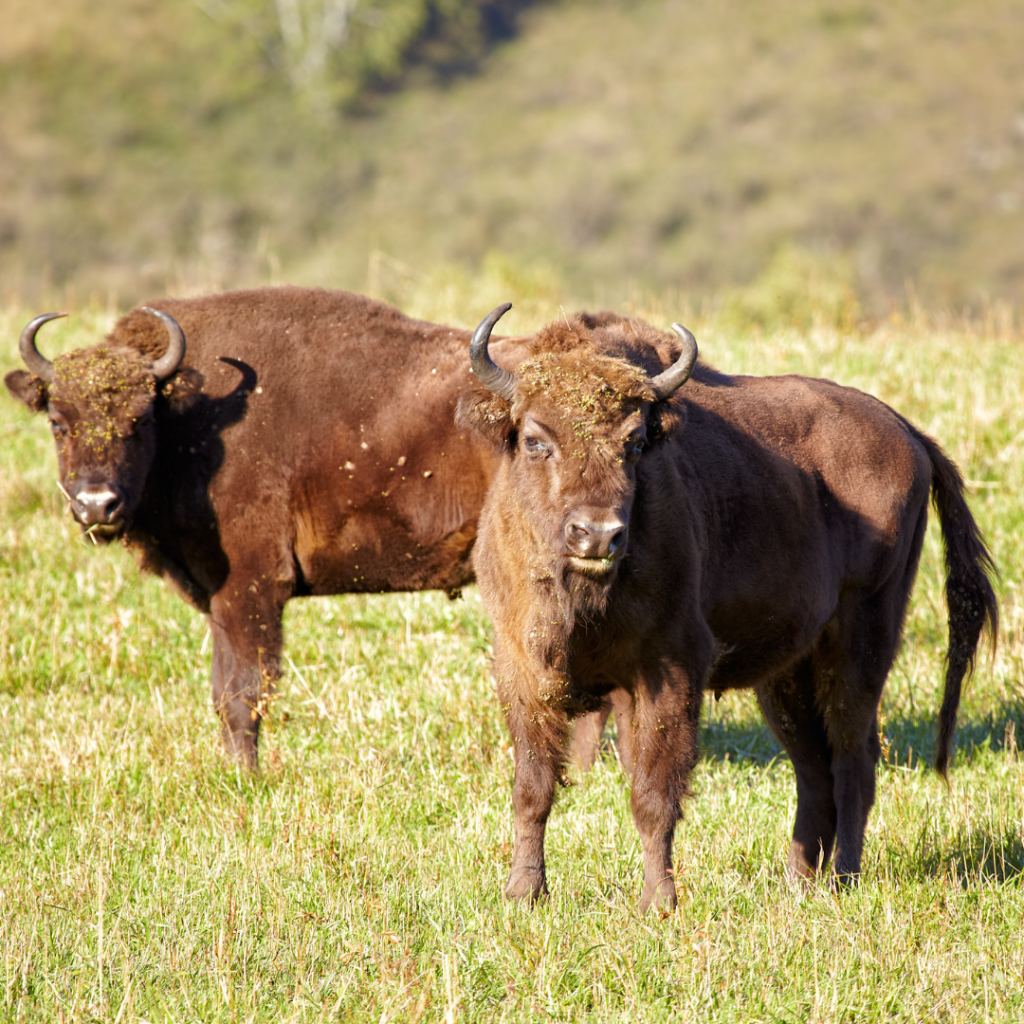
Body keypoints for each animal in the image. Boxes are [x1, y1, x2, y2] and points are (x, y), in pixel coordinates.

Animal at [8, 288, 532, 770]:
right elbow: (223, 691)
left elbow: (242, 691)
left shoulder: (248, 588)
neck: (191, 416)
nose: (96, 504)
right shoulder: (220, 601)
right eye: (58, 422)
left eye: (140, 420)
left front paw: (246, 776)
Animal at [460, 299, 995, 909]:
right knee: (813, 770)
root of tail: (908, 433)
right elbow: (533, 787)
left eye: (635, 443)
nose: (598, 535)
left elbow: (654, 793)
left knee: (852, 759)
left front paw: (658, 902)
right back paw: (797, 885)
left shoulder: (669, 668)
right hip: (787, 674)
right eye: (533, 439)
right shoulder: (521, 667)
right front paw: (523, 894)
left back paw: (843, 880)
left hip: (863, 641)